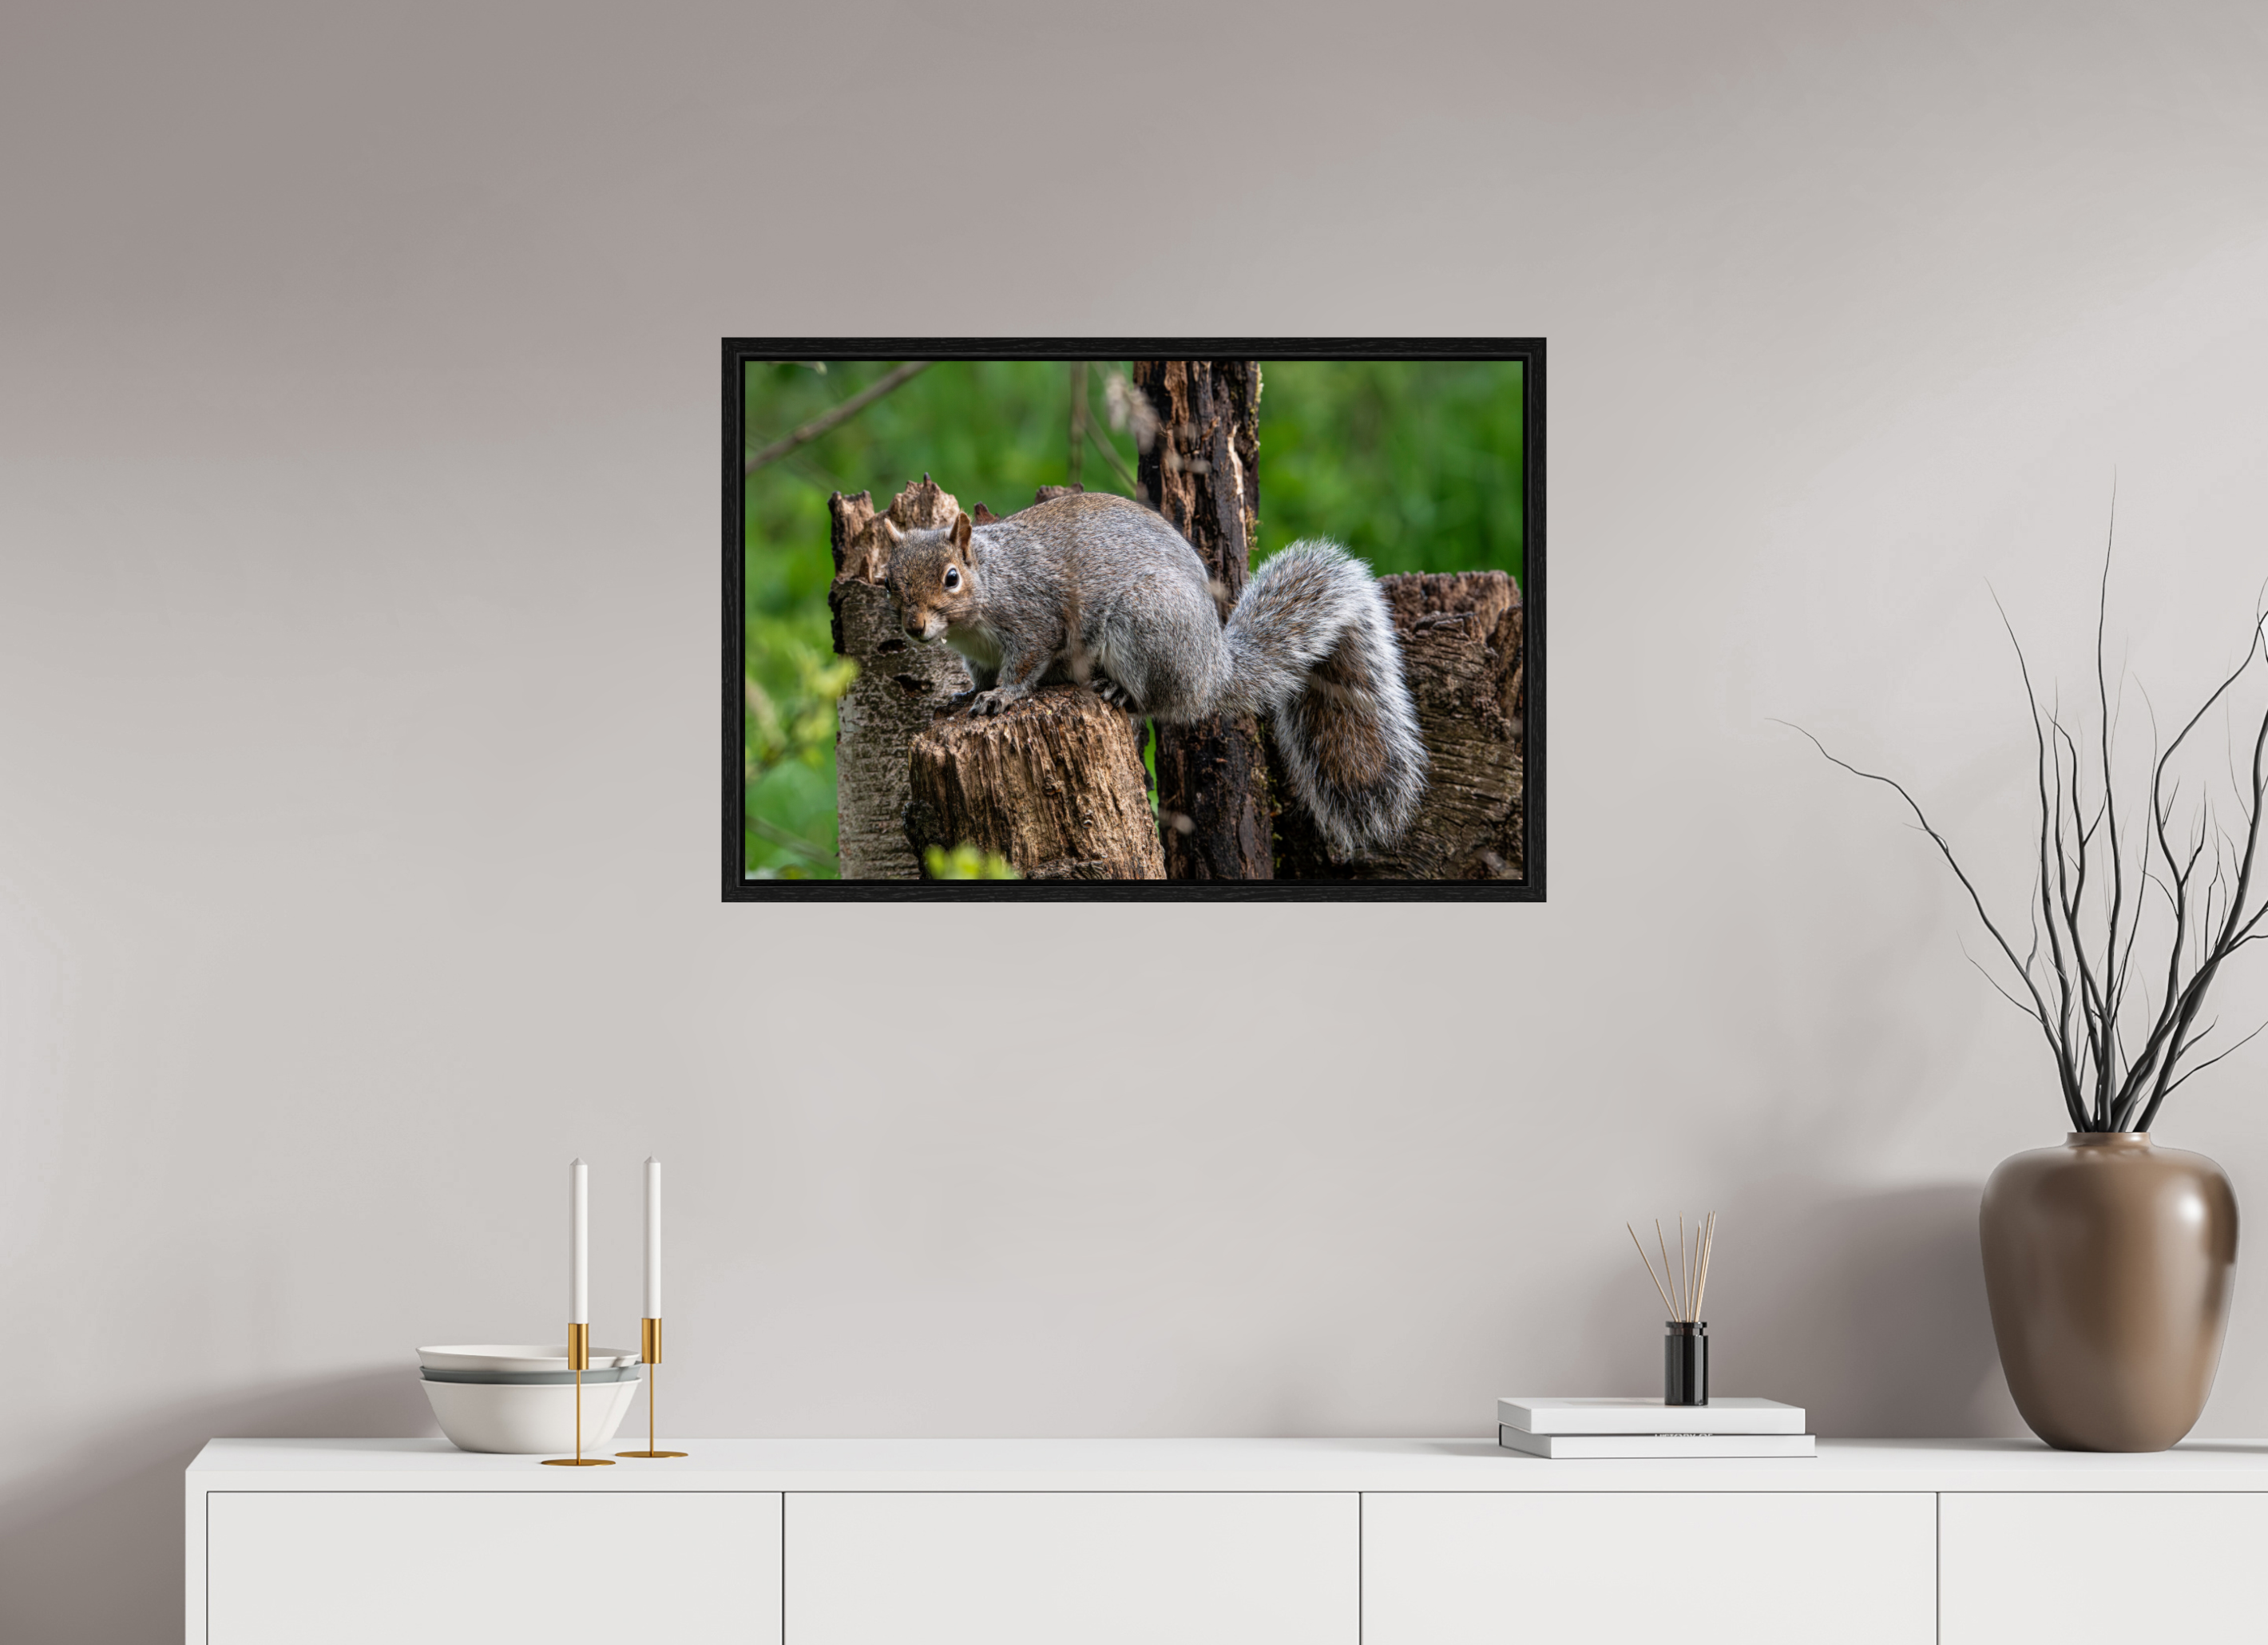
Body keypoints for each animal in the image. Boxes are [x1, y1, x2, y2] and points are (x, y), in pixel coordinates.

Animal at [881, 490, 1426, 855]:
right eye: (888, 582)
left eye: (952, 578)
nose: (914, 627)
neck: (990, 584)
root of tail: (1212, 671)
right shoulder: (977, 656)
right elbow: (977, 677)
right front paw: (961, 698)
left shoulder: (1034, 622)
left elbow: (1024, 666)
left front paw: (1003, 697)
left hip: (1145, 625)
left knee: (1158, 700)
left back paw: (1119, 691)